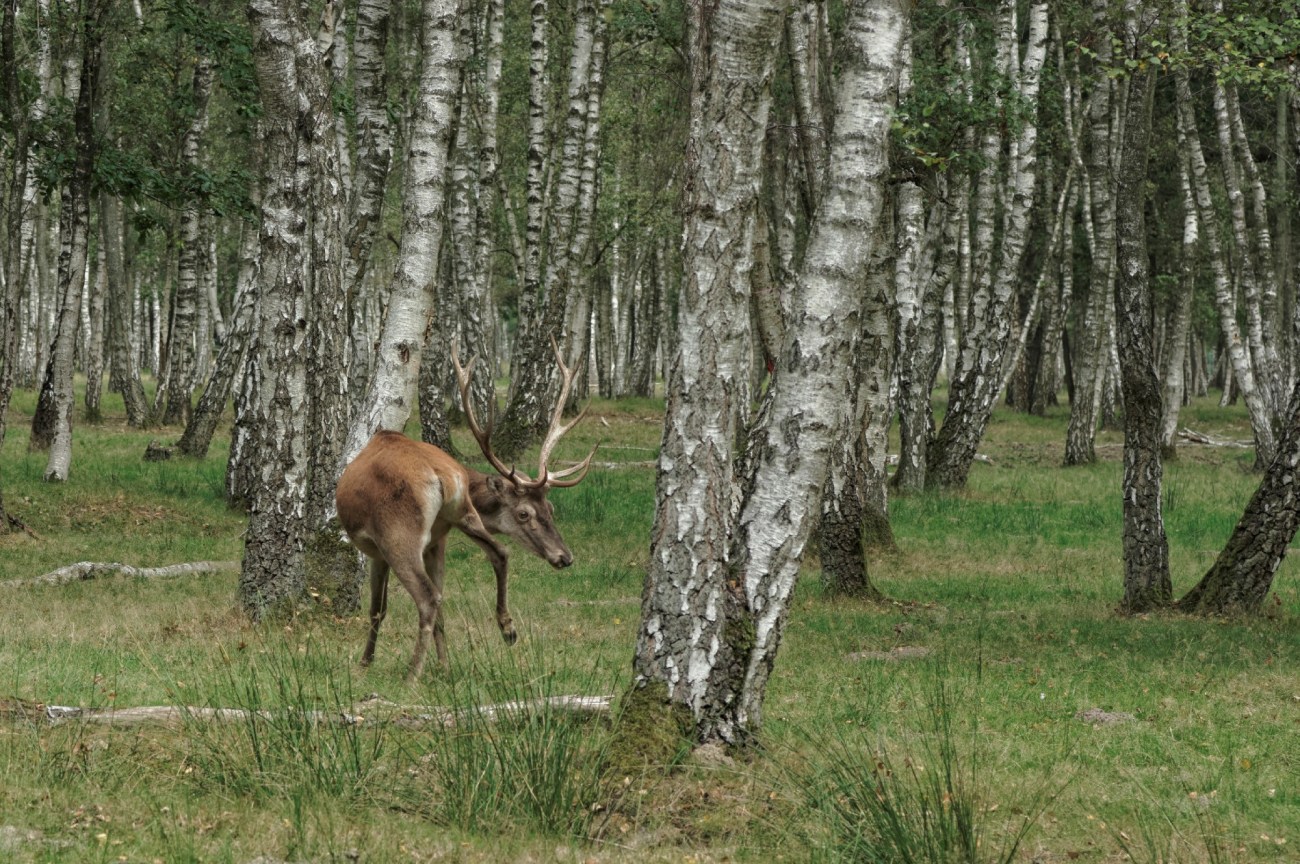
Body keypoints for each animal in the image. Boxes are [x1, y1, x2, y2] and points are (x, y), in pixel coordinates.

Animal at [334, 341, 597, 680]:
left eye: (548, 508)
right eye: (527, 513)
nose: (564, 557)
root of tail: (443, 475)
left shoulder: (376, 551)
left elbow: (378, 609)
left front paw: (366, 662)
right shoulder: (438, 542)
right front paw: (444, 665)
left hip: (397, 533)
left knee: (428, 597)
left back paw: (412, 674)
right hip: (461, 517)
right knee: (498, 554)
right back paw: (506, 630)